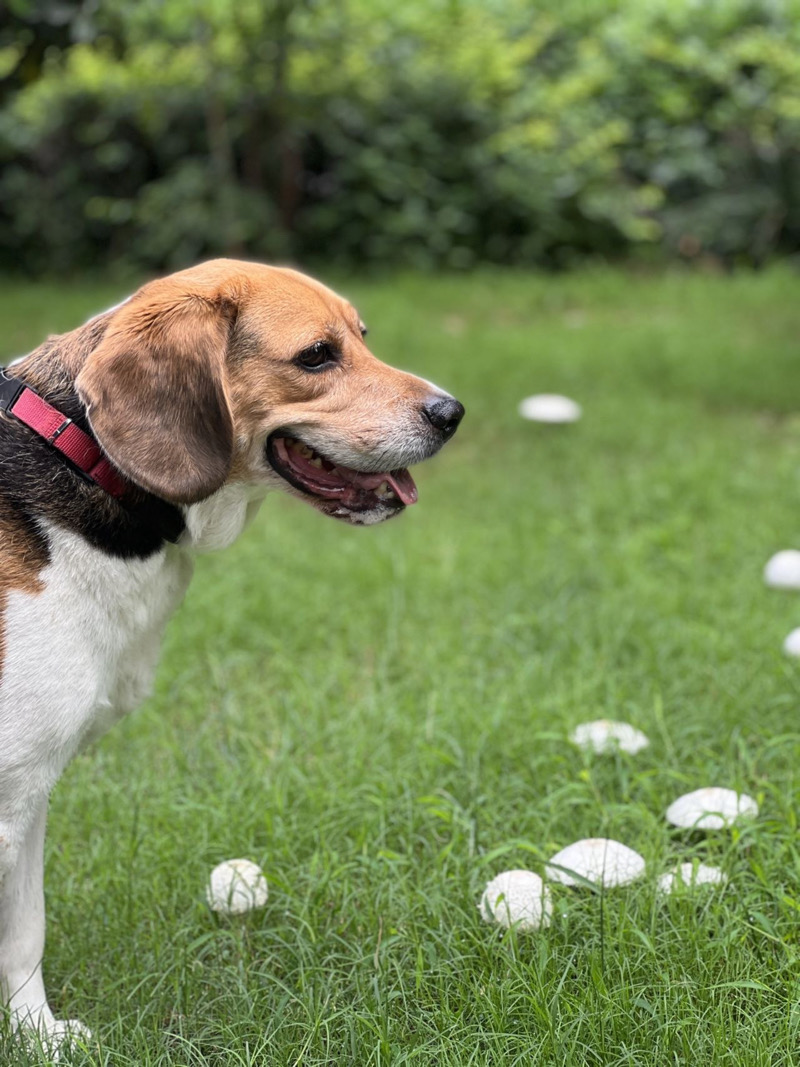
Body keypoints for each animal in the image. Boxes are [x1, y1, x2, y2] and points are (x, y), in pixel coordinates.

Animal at [0, 262, 462, 1045]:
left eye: (362, 336)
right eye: (317, 356)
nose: (451, 412)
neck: (88, 461)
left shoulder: (30, 787)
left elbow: (25, 931)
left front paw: (38, 1036)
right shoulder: (11, 791)